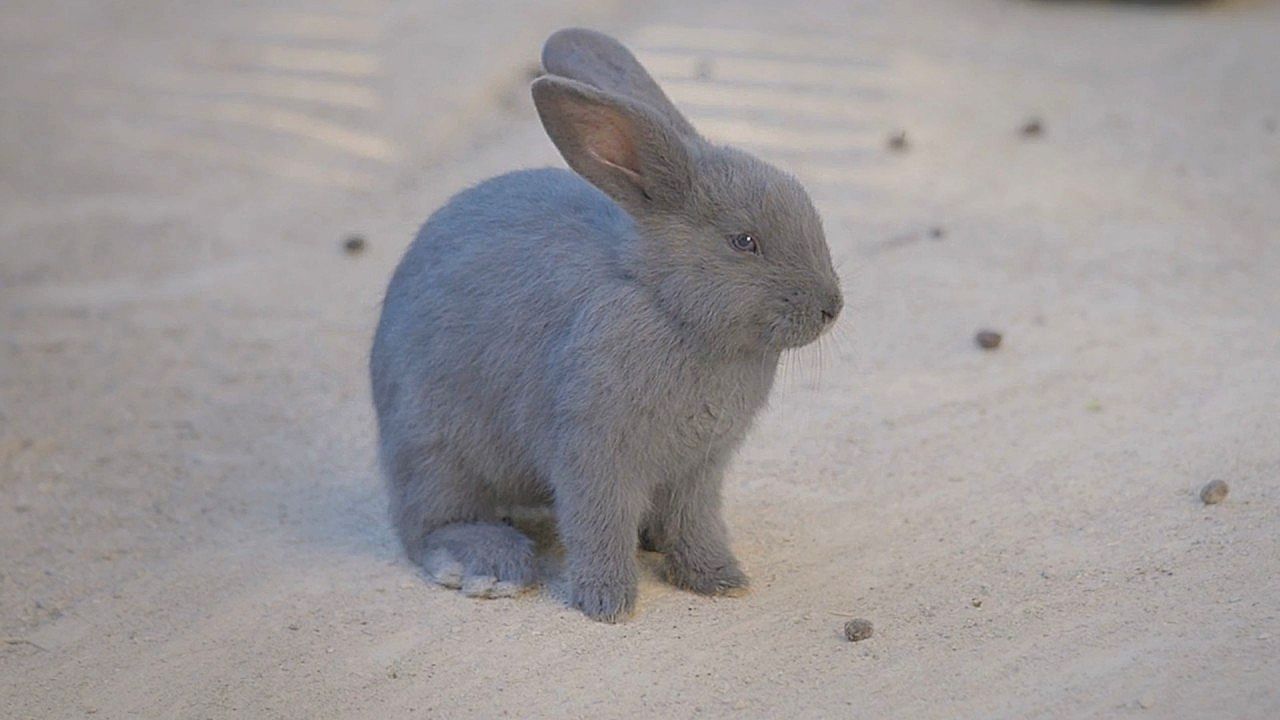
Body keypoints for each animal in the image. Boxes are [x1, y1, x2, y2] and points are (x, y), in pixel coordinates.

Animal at [370, 28, 842, 622]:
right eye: (744, 241)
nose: (833, 306)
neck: (669, 307)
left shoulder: (700, 468)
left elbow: (696, 524)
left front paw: (719, 579)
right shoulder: (593, 453)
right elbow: (599, 526)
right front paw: (607, 602)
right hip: (434, 451)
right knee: (427, 525)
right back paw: (490, 565)